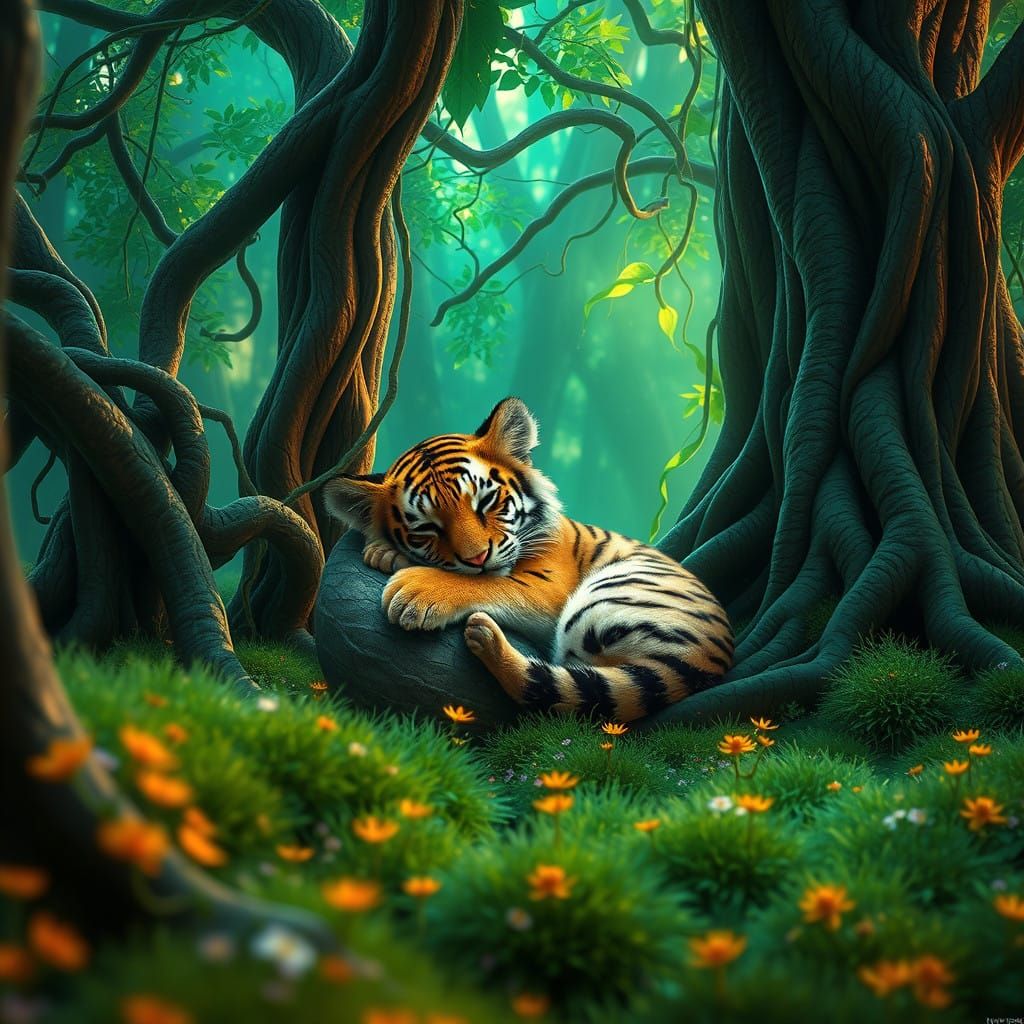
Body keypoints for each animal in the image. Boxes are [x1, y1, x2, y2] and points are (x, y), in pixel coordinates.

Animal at [323, 397, 733, 722]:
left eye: (486, 502)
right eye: (427, 528)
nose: (478, 557)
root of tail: (710, 659)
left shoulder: (548, 588)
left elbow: (486, 583)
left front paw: (414, 591)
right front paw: (383, 551)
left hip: (598, 600)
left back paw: (486, 637)